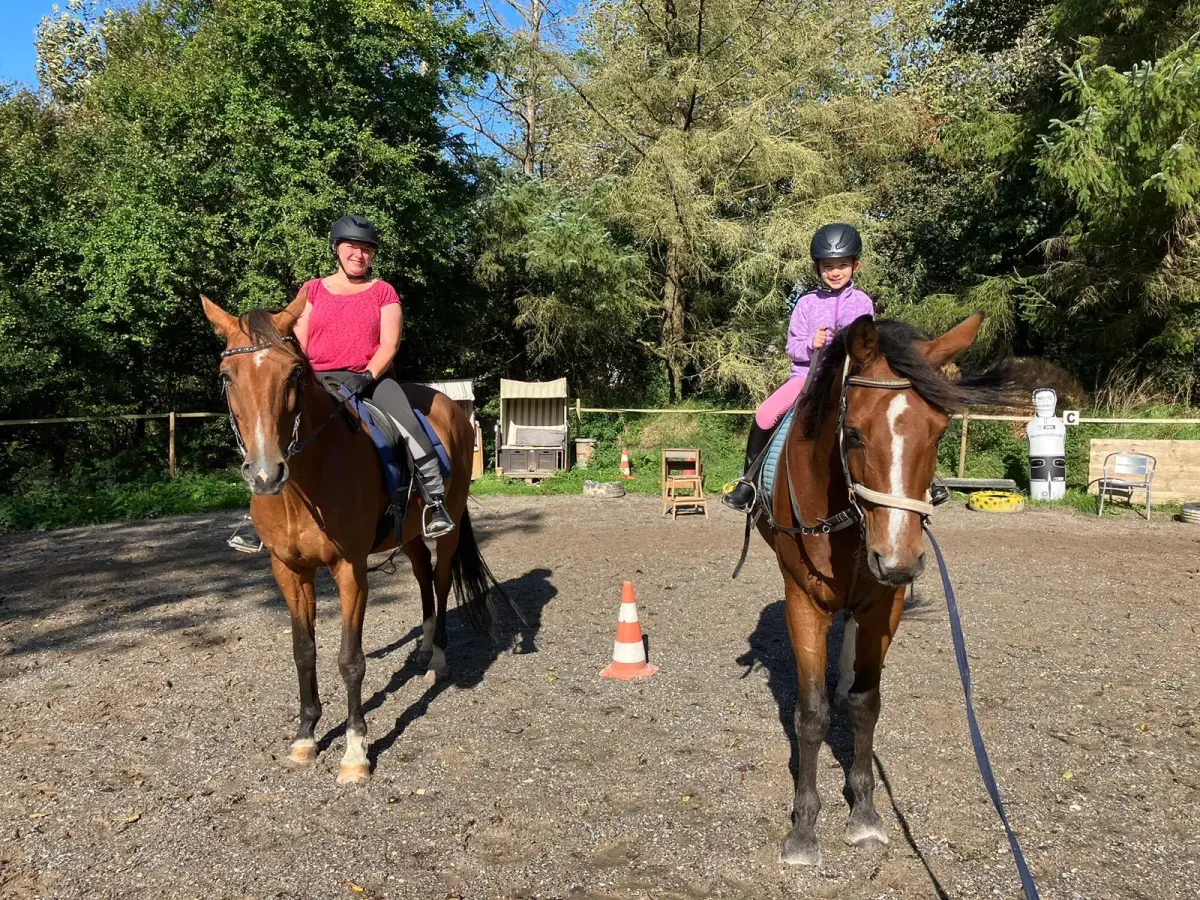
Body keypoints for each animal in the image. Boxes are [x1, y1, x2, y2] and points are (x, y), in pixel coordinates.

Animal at [201, 292, 496, 787]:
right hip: (406, 534)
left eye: (294, 374)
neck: (304, 483)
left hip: (449, 524)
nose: (265, 474)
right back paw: (423, 645)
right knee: (422, 577)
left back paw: (437, 658)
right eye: (227, 376)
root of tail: (449, 405)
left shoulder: (350, 570)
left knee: (438, 580)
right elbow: (304, 652)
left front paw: (356, 750)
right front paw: (305, 737)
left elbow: (349, 659)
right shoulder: (288, 570)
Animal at [758, 312, 1003, 868]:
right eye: (852, 433)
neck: (848, 520)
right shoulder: (804, 603)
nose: (897, 560)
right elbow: (810, 715)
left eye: (939, 432)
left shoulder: (882, 607)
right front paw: (803, 828)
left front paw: (865, 814)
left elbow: (866, 704)